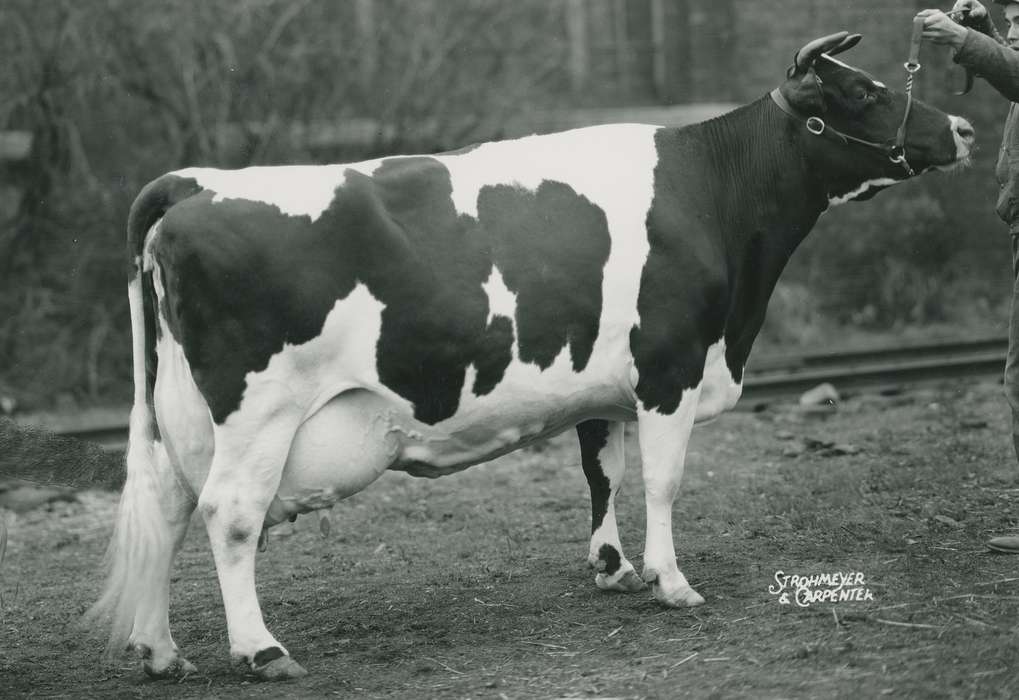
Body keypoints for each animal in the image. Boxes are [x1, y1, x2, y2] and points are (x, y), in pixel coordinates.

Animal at [87, 32, 973, 680]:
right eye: (860, 92)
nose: (962, 129)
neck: (712, 194)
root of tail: (194, 185)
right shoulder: (670, 368)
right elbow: (662, 480)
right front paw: (672, 583)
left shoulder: (605, 385)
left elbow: (601, 468)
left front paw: (614, 568)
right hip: (257, 411)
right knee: (229, 514)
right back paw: (261, 650)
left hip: (179, 415)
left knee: (166, 505)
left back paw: (160, 651)